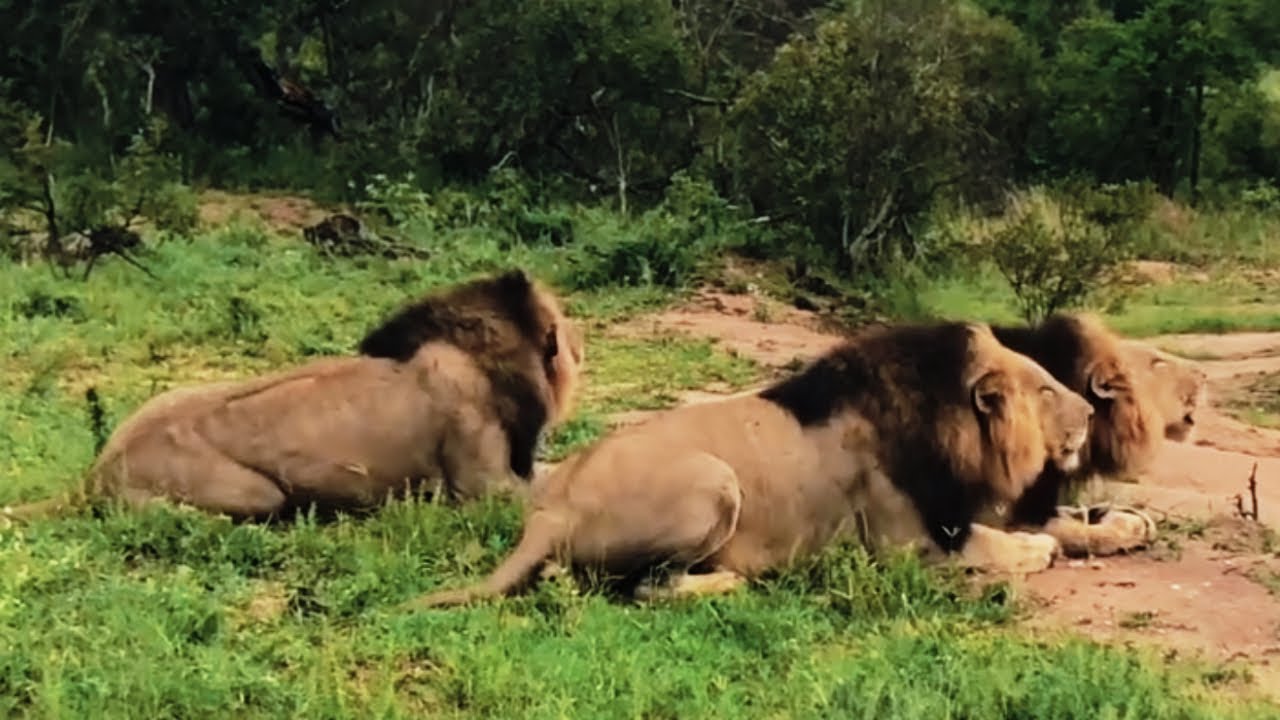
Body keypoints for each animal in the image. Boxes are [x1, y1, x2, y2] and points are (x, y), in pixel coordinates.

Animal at [407, 321, 1094, 608]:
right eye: (1046, 390)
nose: (1091, 410)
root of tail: (549, 508)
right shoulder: (905, 546)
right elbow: (994, 544)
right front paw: (1037, 549)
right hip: (715, 482)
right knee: (645, 588)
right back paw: (730, 582)